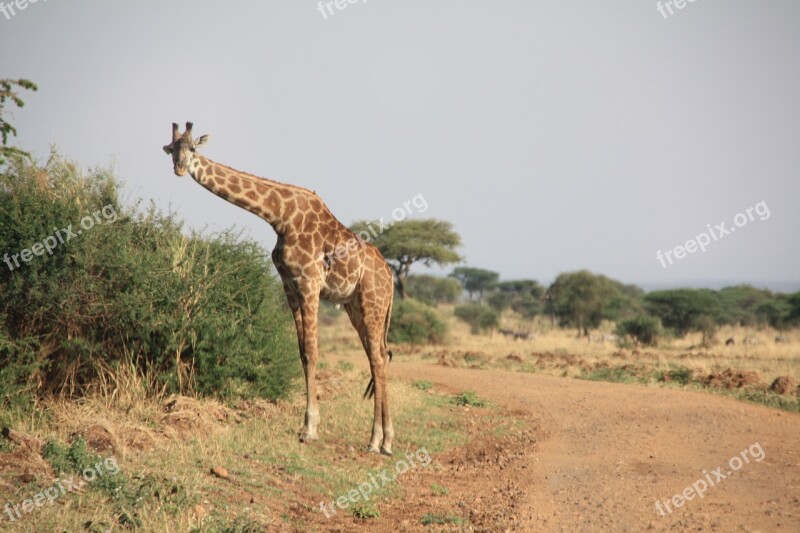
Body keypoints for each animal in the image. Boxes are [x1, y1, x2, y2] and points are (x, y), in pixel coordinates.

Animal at [163, 121, 396, 454]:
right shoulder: (290, 287)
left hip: (371, 302)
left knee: (377, 358)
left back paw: (376, 440)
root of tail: (390, 277)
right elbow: (301, 353)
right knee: (380, 356)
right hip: (357, 307)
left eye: (193, 148)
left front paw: (310, 429)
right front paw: (305, 425)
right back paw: (387, 440)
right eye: (172, 149)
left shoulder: (309, 283)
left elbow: (312, 351)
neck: (279, 217)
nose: (180, 168)